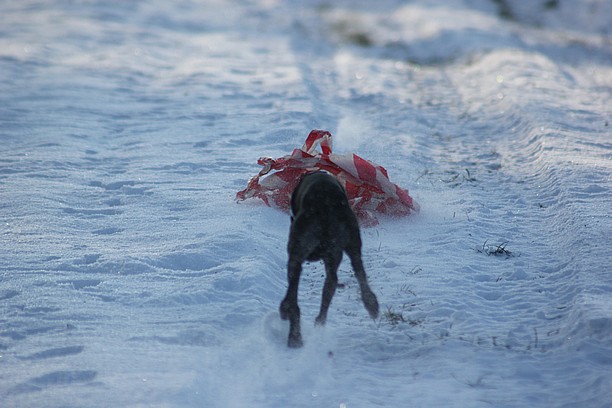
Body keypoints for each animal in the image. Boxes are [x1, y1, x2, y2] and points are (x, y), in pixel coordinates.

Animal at [280, 171, 378, 346]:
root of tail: (325, 205)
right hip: (349, 243)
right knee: (354, 272)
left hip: (297, 254)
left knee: (293, 298)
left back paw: (293, 332)